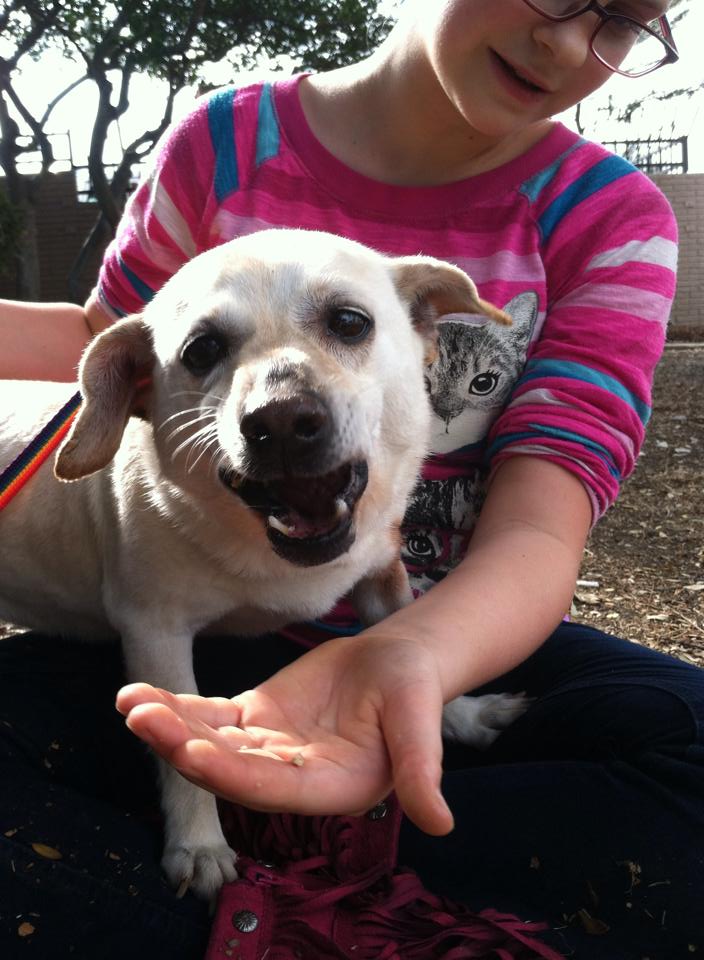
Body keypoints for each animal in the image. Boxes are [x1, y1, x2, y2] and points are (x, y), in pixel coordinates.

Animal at [0, 231, 528, 900]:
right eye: (201, 351)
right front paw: (199, 845)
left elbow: (413, 641)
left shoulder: (381, 576)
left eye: (350, 322)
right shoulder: (155, 632)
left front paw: (463, 714)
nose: (280, 420)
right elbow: (181, 751)